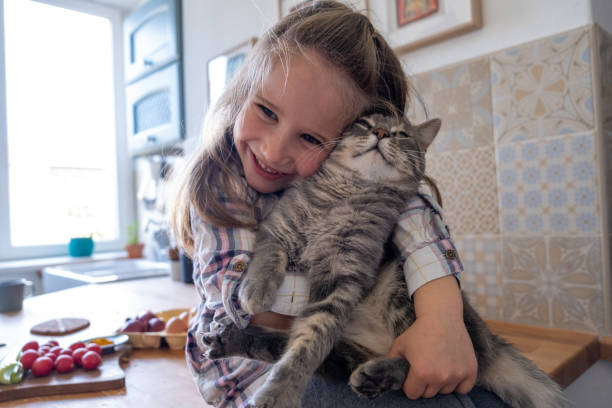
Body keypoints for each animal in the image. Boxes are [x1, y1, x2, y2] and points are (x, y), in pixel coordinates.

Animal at [202, 112, 568, 408]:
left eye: (401, 133)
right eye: (365, 124)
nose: (380, 132)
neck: (347, 190)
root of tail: (489, 341)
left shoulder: (344, 275)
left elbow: (305, 350)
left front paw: (278, 394)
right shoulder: (277, 230)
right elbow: (266, 261)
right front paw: (255, 290)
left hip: (399, 290)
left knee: (415, 363)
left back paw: (379, 375)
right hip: (350, 346)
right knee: (302, 349)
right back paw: (228, 339)